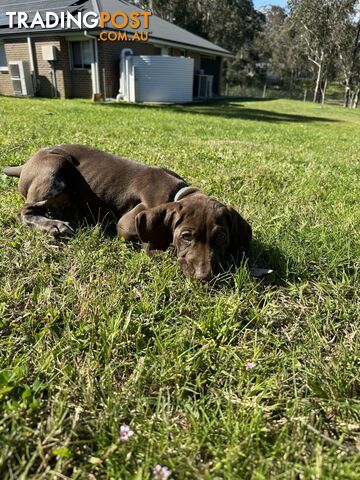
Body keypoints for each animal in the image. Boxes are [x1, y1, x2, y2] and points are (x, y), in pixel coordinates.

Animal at [3, 144, 250, 284]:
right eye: (186, 237)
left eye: (221, 236)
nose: (204, 276)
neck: (176, 193)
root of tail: (26, 164)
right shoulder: (126, 223)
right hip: (56, 167)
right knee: (25, 211)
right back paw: (54, 224)